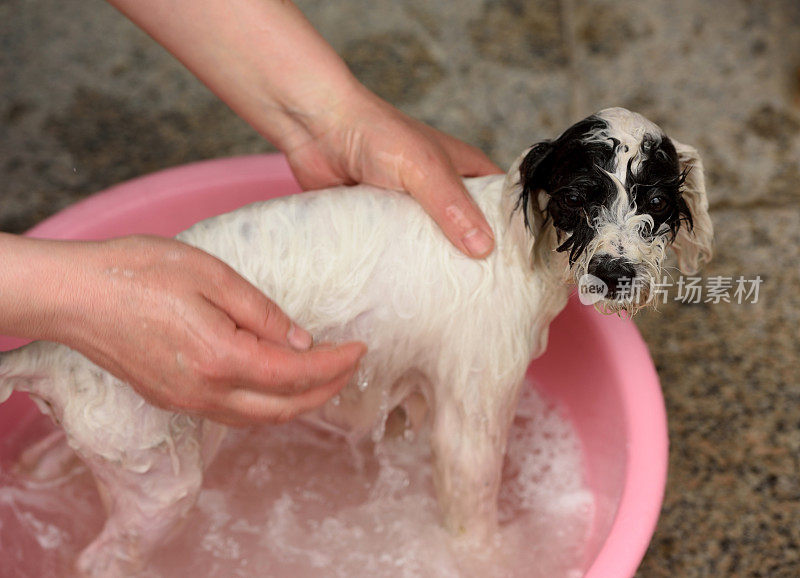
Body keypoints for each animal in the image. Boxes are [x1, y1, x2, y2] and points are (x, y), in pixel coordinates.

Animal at [0, 107, 712, 572]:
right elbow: (472, 510)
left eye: (655, 200)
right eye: (575, 196)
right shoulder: (472, 410)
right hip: (160, 482)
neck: (514, 249)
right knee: (100, 558)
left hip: (130, 434)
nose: (615, 273)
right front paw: (492, 561)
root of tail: (50, 352)